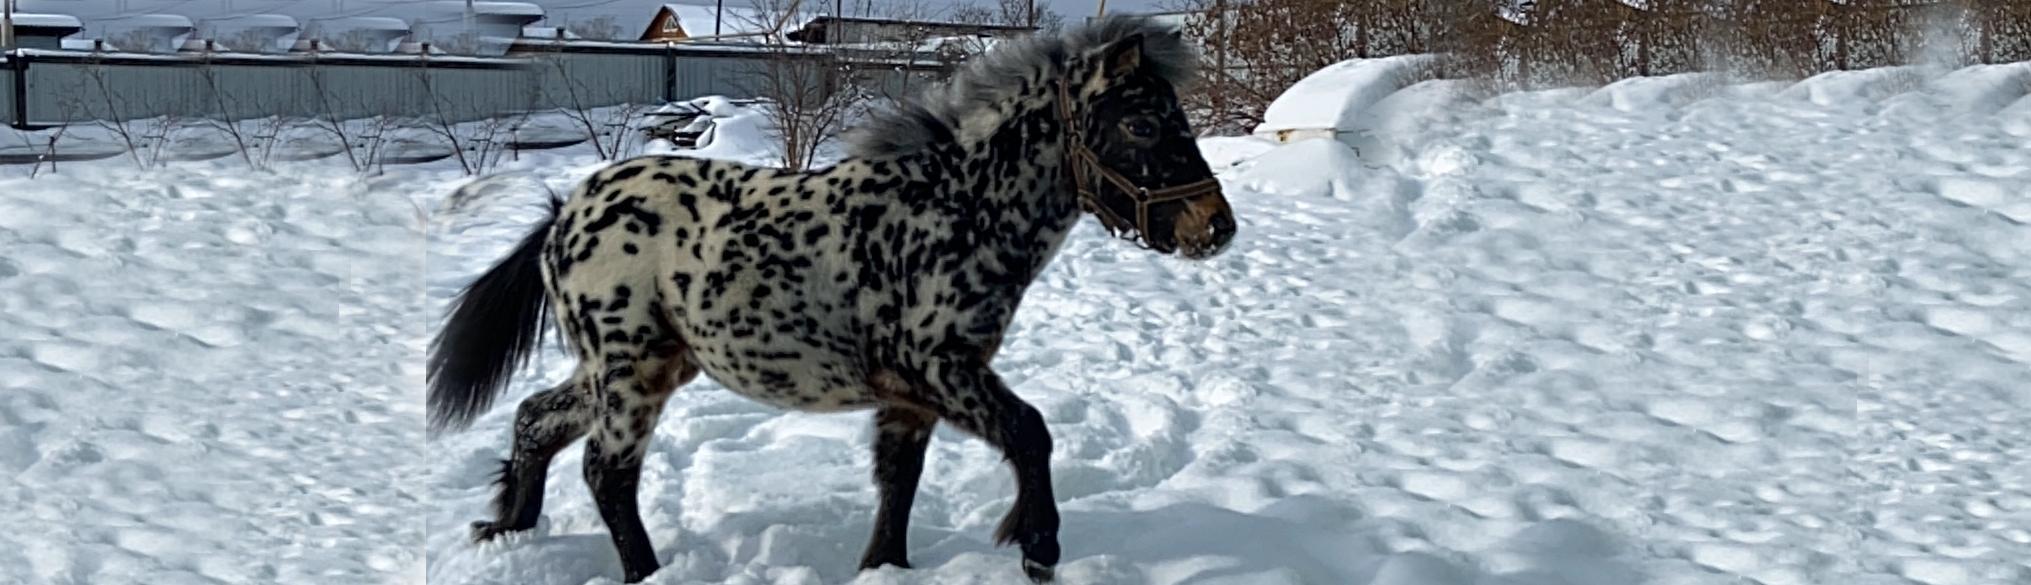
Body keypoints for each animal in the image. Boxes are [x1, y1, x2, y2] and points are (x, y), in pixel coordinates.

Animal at [424, 15, 1234, 580]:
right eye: (1141, 121)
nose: (1214, 226)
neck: (955, 210)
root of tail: (564, 214)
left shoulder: (912, 393)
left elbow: (898, 483)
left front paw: (885, 567)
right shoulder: (942, 366)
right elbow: (1031, 432)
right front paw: (1037, 546)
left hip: (642, 362)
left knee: (537, 419)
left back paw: (508, 527)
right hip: (631, 370)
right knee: (607, 470)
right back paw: (641, 571)